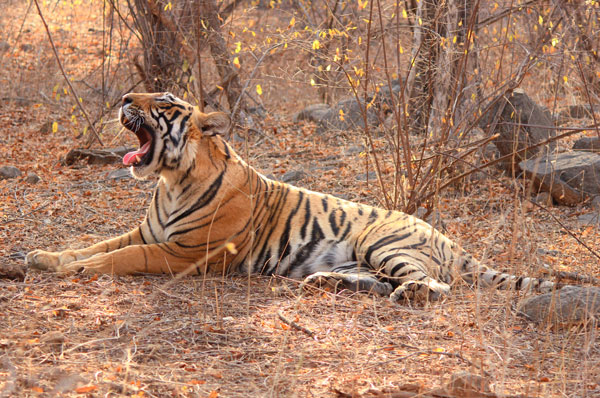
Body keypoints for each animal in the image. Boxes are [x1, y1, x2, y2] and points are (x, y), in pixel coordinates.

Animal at [25, 91, 556, 302]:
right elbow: (95, 244)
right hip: (365, 256)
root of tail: (450, 241)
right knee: (378, 281)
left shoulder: (184, 252)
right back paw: (326, 283)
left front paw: (78, 270)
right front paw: (43, 256)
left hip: (383, 241)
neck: (172, 181)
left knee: (431, 285)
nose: (123, 99)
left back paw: (408, 294)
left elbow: (121, 257)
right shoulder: (147, 232)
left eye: (164, 103)